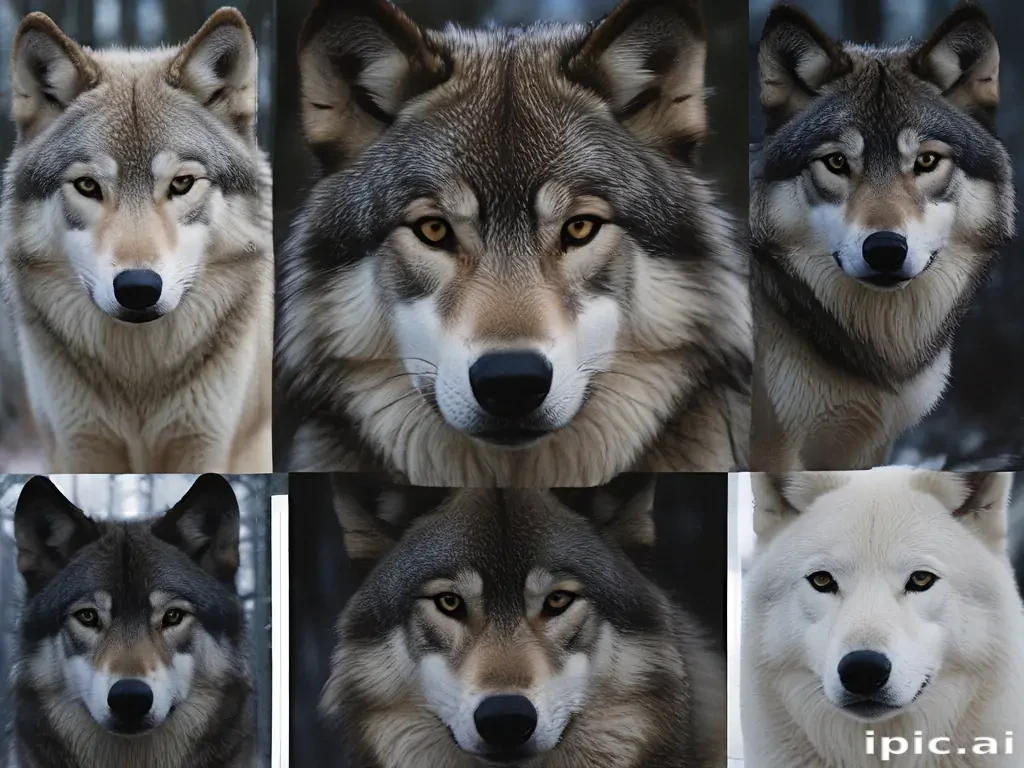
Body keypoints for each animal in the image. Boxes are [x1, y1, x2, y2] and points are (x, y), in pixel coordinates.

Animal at [0, 8, 273, 473]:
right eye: (88, 186)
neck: (138, 380)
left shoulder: (207, 442)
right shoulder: (79, 444)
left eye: (181, 183)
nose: (138, 288)